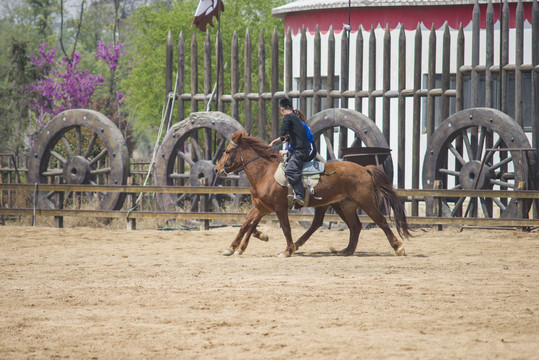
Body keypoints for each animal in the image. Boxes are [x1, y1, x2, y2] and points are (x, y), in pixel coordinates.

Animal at [215, 131, 410, 258]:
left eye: (227, 151)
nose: (217, 169)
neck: (265, 172)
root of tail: (364, 169)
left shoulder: (278, 207)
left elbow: (285, 227)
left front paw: (287, 250)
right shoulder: (261, 207)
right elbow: (246, 224)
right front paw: (232, 248)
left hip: (365, 202)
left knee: (381, 221)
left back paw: (398, 248)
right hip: (344, 205)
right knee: (354, 226)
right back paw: (346, 251)